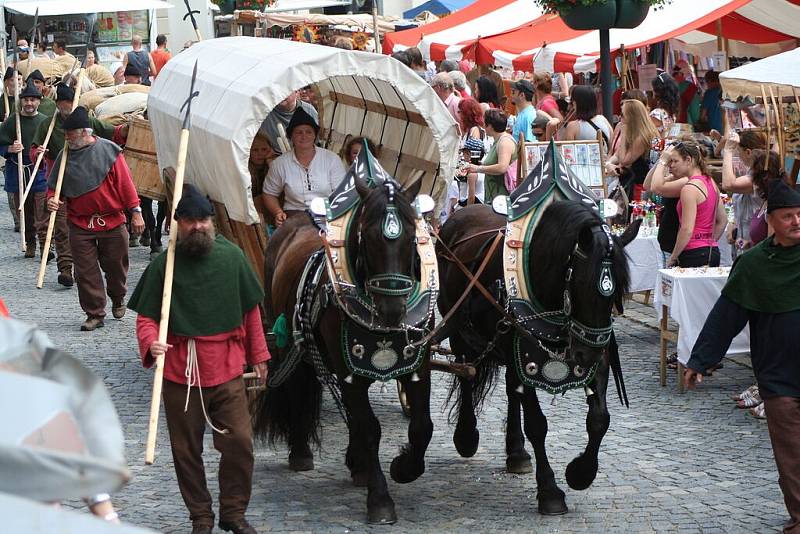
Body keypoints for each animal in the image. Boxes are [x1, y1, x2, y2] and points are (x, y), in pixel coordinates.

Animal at [255, 175, 432, 524]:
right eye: (369, 237)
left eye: (412, 236)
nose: (392, 310)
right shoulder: (350, 370)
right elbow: (370, 428)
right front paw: (380, 500)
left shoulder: (418, 366)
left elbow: (422, 426)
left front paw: (403, 467)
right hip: (293, 344)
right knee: (298, 388)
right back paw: (301, 452)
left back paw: (357, 463)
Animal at [434, 201, 640, 516]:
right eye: (581, 283)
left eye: (617, 291)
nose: (586, 353)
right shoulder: (523, 355)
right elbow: (537, 424)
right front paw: (550, 491)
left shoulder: (599, 360)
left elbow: (599, 419)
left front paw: (581, 473)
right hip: (458, 330)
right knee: (466, 374)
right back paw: (466, 435)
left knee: (510, 391)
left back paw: (516, 452)